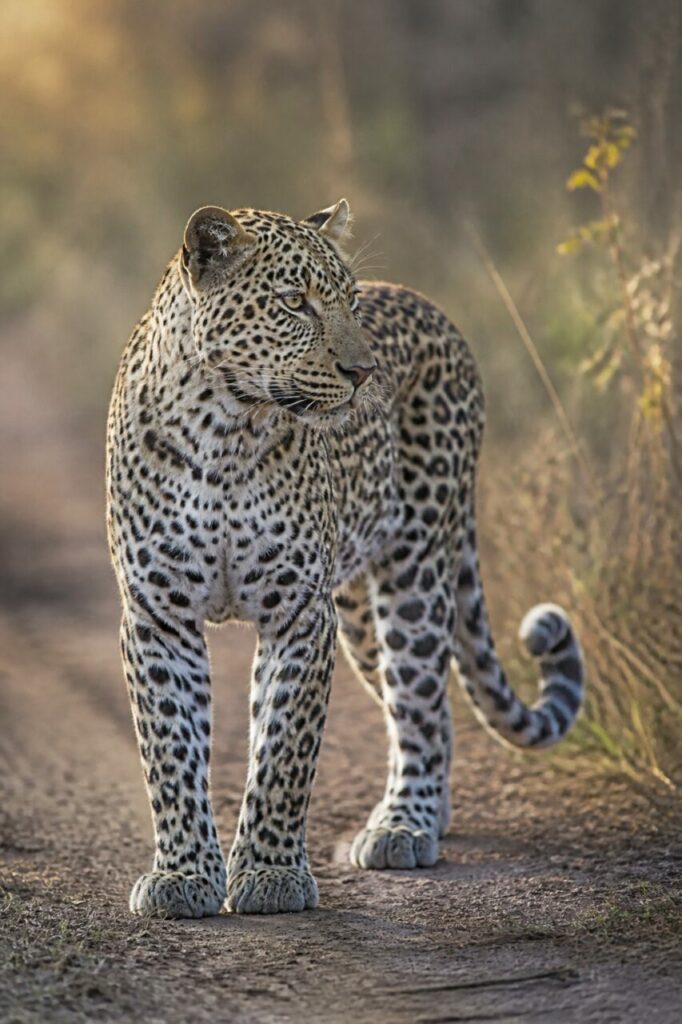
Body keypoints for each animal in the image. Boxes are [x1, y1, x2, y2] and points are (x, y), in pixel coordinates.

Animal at [106, 198, 585, 918]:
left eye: (350, 301)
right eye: (294, 302)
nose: (363, 375)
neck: (224, 433)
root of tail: (429, 305)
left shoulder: (301, 614)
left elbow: (284, 752)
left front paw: (271, 874)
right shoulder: (159, 615)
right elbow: (170, 749)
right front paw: (183, 875)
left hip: (414, 571)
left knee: (421, 702)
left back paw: (404, 823)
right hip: (359, 614)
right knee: (425, 705)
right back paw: (426, 814)